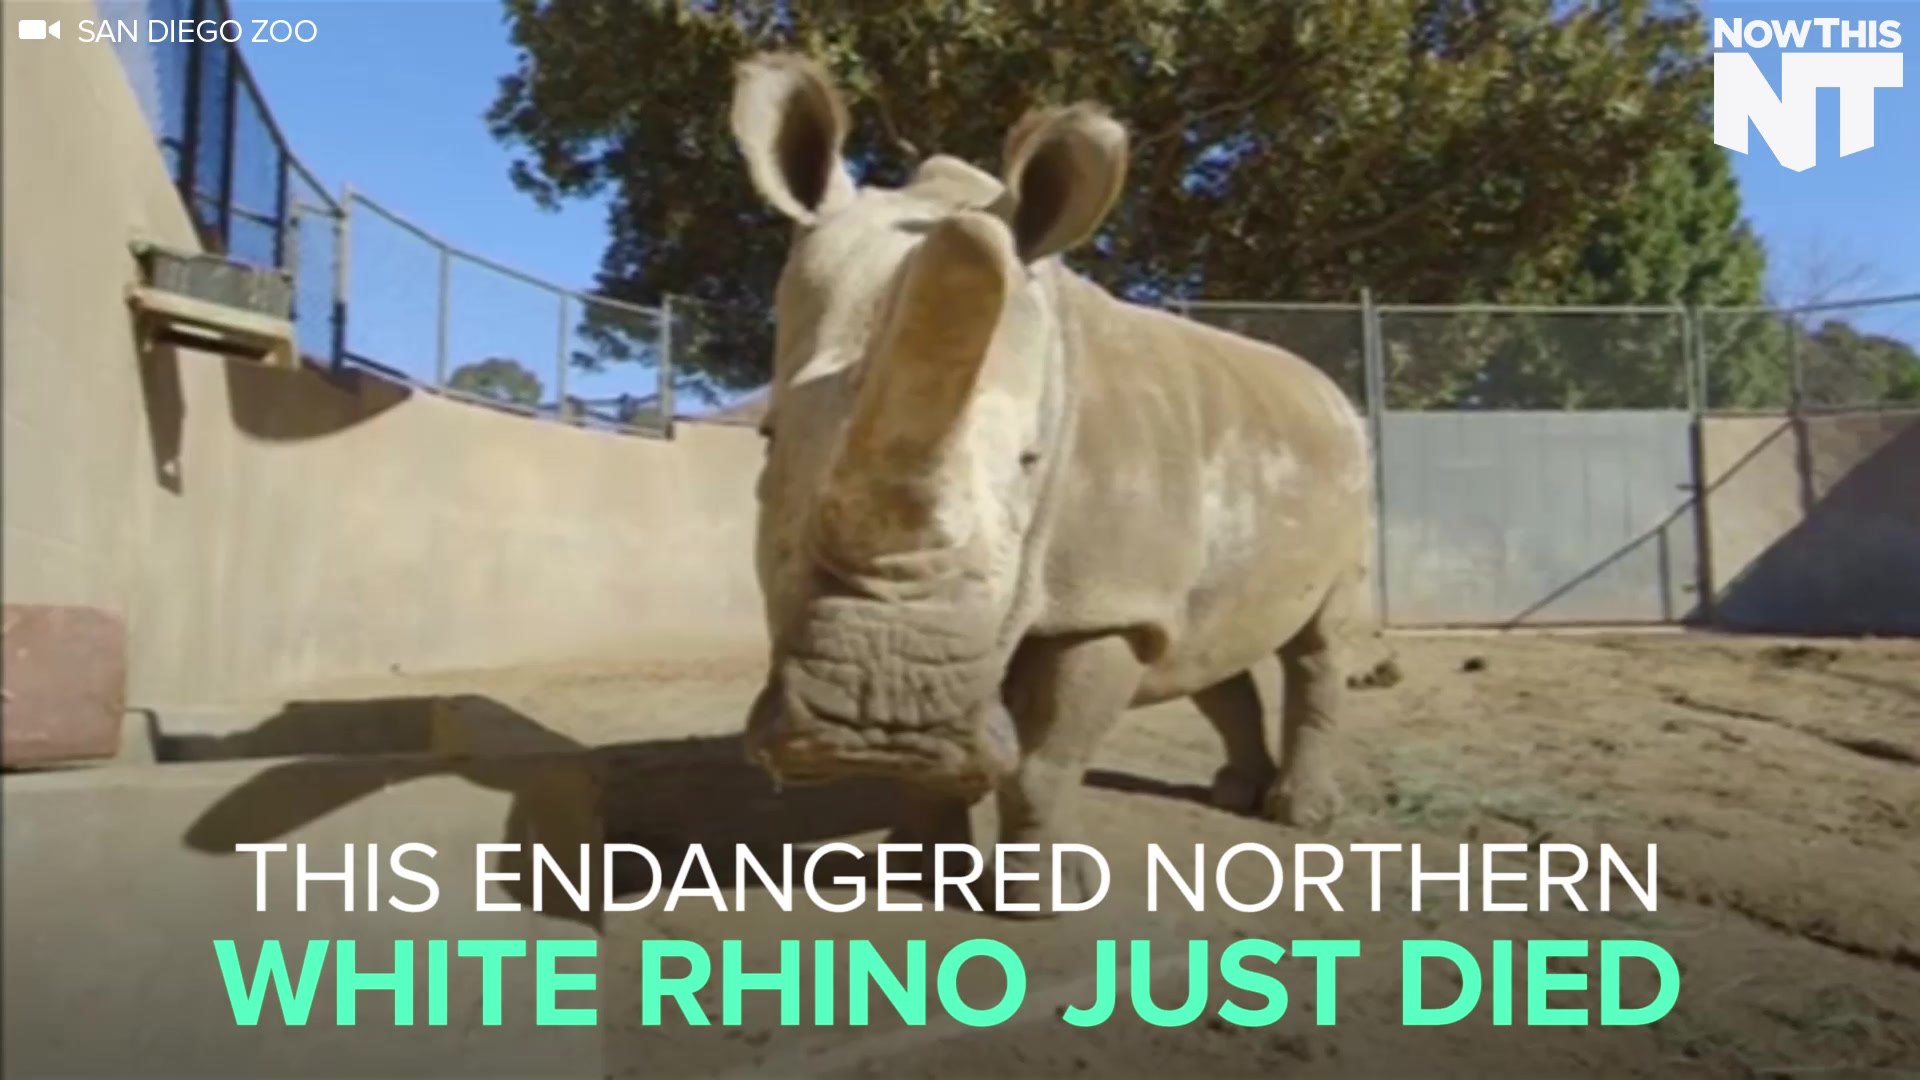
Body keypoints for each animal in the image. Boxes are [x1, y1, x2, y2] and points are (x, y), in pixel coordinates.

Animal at [731, 54, 1377, 911]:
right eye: (768, 440)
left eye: (1031, 463)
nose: (876, 719)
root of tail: (1328, 390)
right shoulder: (1108, 593)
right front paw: (918, 873)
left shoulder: (1103, 600)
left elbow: (1046, 761)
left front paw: (1043, 899)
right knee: (1205, 638)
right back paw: (1235, 793)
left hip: (1352, 471)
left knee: (1318, 644)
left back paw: (1299, 816)